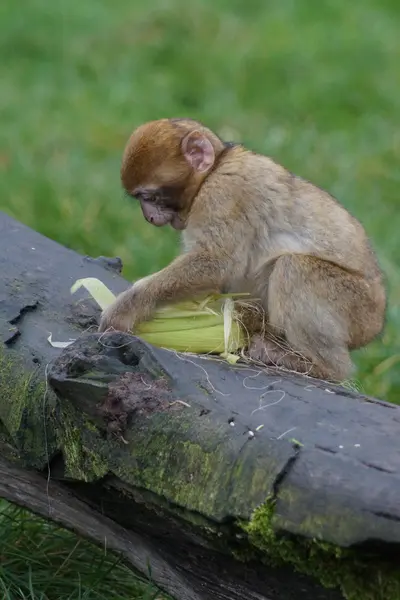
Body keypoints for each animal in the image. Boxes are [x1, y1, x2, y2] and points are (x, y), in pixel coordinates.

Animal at [97, 118, 388, 382]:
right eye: (141, 200)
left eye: (150, 197)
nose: (148, 217)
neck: (215, 168)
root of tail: (376, 322)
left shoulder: (223, 194)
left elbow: (217, 263)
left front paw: (127, 307)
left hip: (357, 307)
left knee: (293, 267)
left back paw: (320, 366)